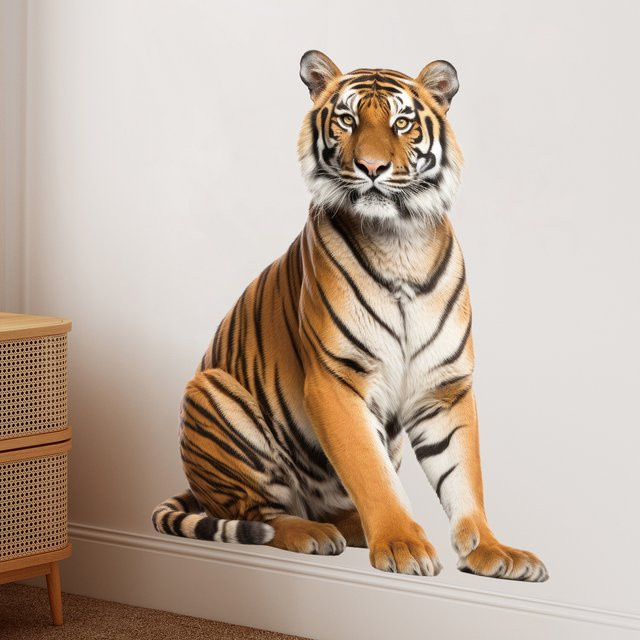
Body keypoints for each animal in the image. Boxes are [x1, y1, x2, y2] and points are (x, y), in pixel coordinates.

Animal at [152, 50, 548, 581]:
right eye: (347, 120)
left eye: (402, 123)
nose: (372, 166)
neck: (402, 239)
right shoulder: (336, 380)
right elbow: (369, 470)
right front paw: (402, 545)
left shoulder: (444, 389)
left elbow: (465, 477)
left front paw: (491, 549)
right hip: (212, 394)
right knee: (261, 513)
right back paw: (316, 533)